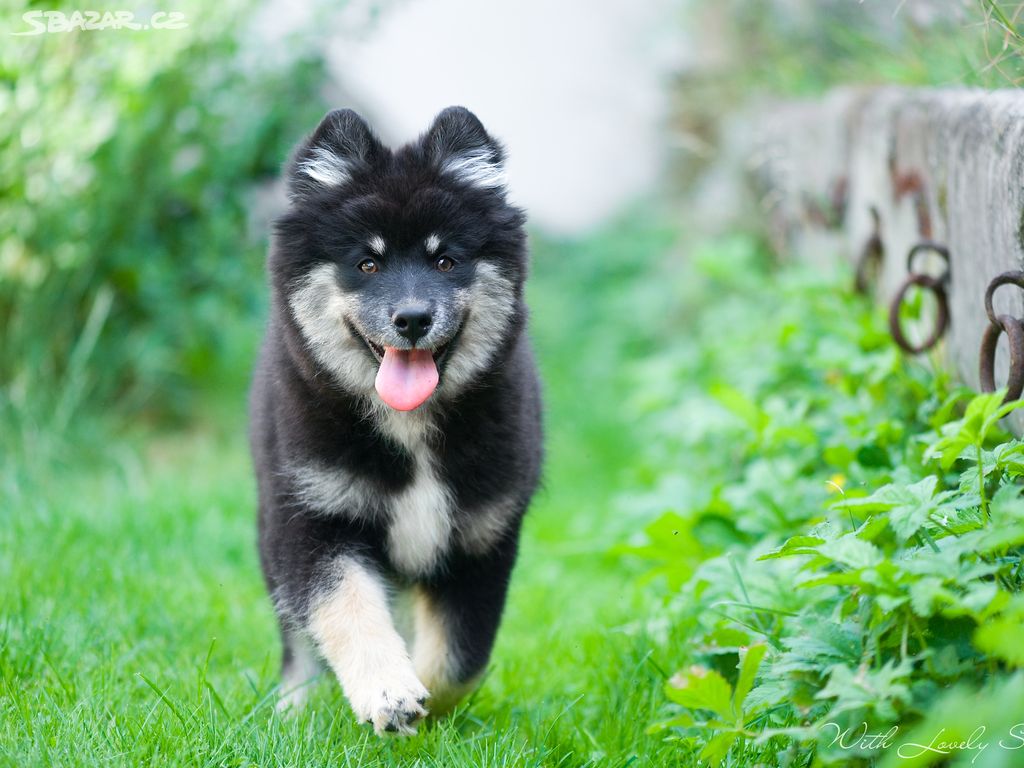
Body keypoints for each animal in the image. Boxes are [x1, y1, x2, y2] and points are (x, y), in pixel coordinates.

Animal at [248, 105, 544, 737]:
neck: (410, 431)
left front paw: (426, 708)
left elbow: (460, 658)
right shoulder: (313, 518)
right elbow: (345, 608)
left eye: (445, 260)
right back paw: (295, 706)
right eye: (367, 262)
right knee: (296, 636)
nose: (411, 319)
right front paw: (388, 692)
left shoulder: (481, 539)